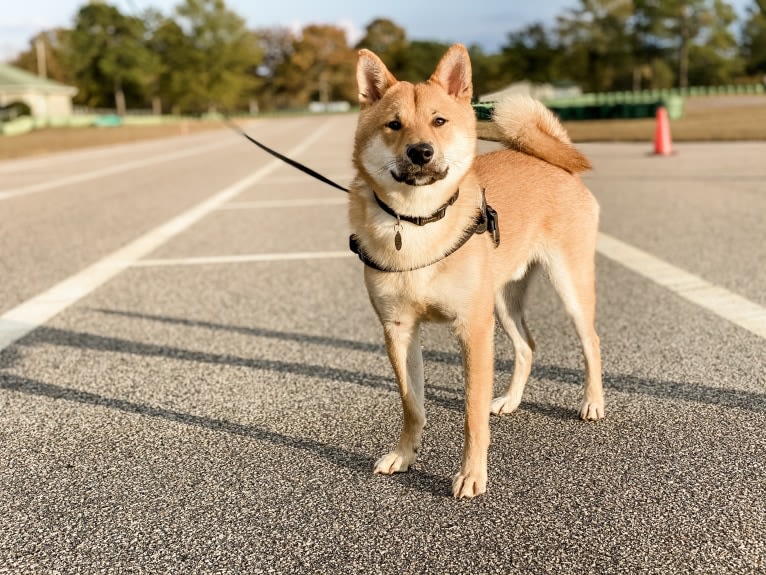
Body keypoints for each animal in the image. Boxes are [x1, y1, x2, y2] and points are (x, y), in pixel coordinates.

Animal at [348, 45, 608, 498]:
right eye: (394, 124)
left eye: (439, 121)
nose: (421, 152)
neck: (418, 224)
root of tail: (554, 161)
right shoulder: (399, 330)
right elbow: (411, 404)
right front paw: (404, 455)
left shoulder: (472, 329)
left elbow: (471, 413)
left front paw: (472, 474)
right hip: (503, 300)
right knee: (527, 347)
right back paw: (511, 400)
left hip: (568, 287)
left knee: (590, 341)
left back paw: (593, 401)